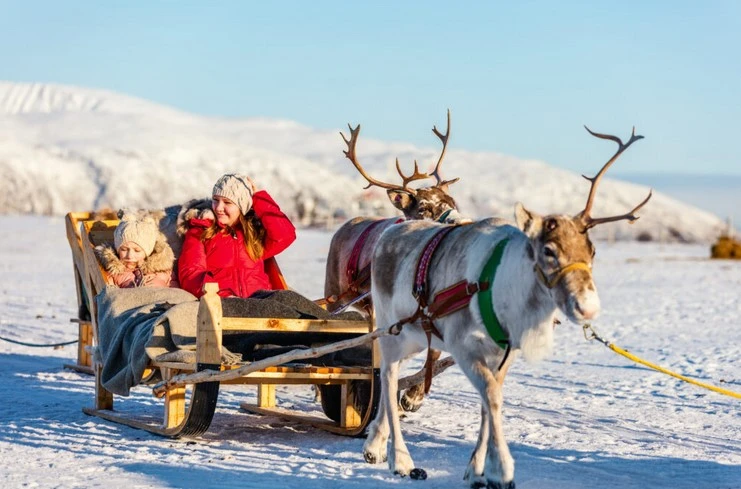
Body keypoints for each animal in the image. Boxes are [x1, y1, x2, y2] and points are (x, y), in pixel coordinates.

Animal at [323, 111, 468, 413]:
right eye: (423, 208)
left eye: (451, 200)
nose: (462, 221)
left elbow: (434, 351)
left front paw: (412, 397)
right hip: (334, 294)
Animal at [362, 126, 652, 488]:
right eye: (548, 251)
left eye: (593, 250)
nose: (588, 307)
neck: (507, 291)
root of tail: (389, 232)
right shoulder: (463, 345)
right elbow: (492, 396)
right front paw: (502, 470)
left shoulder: (503, 350)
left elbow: (489, 399)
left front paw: (476, 469)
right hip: (391, 328)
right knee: (387, 379)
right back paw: (399, 458)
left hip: (414, 336)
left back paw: (375, 445)